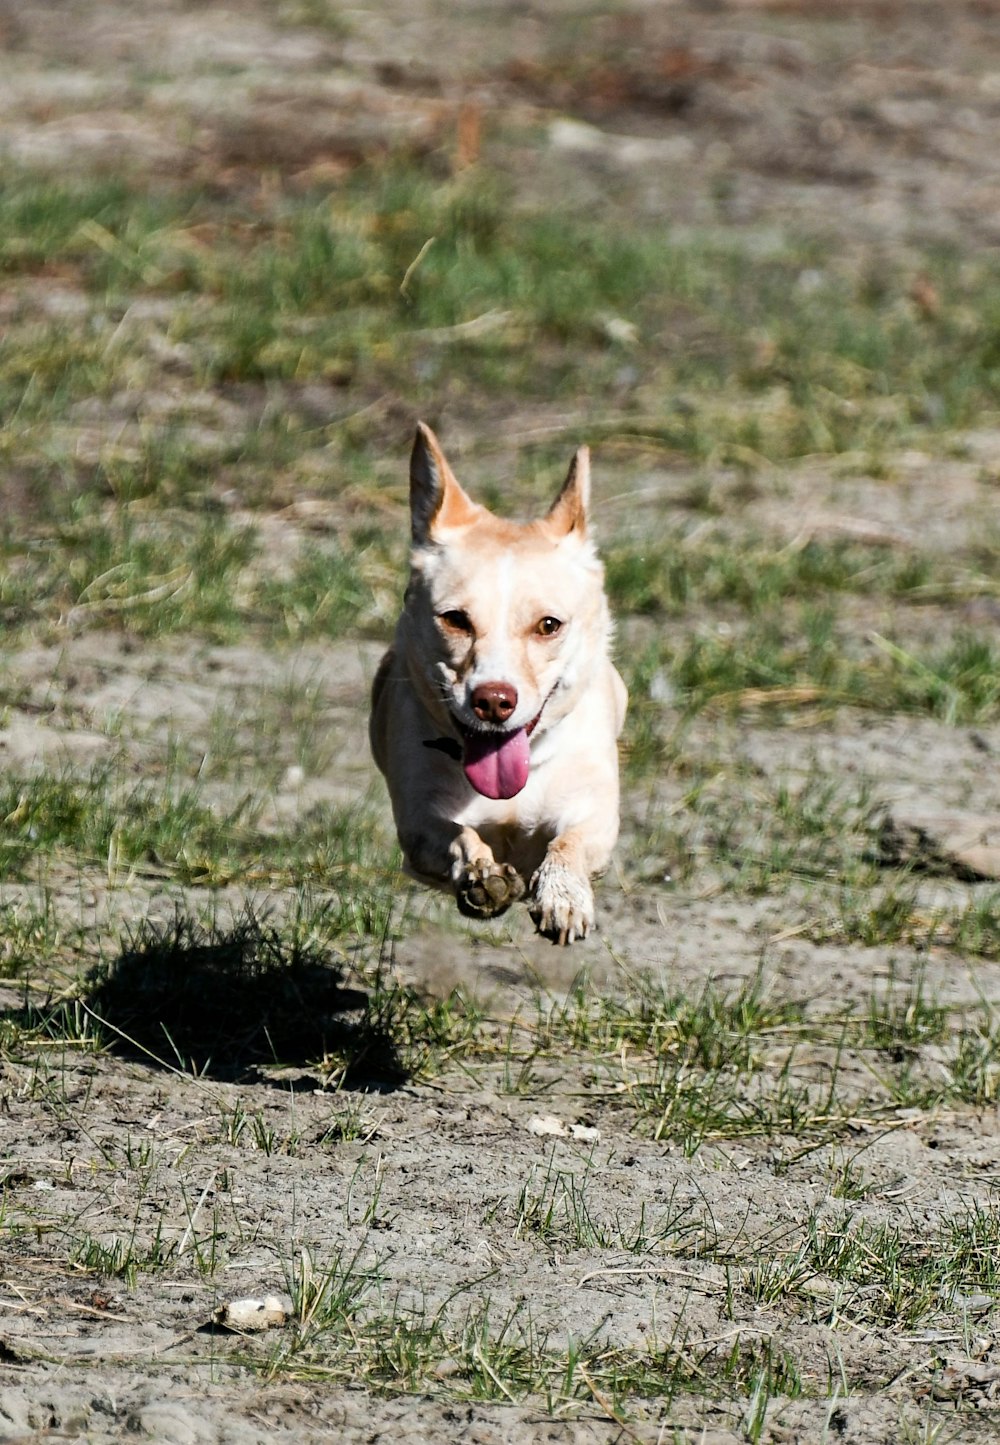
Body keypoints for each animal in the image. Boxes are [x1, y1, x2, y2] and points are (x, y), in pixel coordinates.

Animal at [369, 421, 624, 942]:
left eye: (549, 625)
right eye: (455, 619)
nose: (493, 699)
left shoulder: (595, 812)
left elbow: (569, 843)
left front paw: (563, 895)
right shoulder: (417, 821)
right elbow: (457, 836)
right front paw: (482, 876)